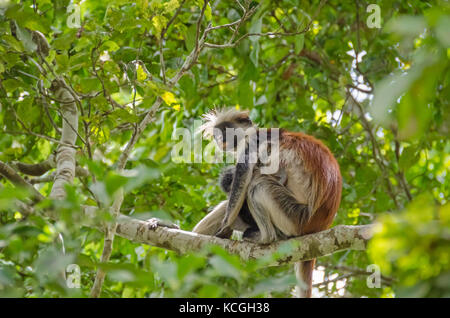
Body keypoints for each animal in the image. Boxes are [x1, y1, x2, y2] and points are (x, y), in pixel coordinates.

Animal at [192, 108, 342, 298]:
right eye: (217, 133)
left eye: (225, 130)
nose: (220, 139)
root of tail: (318, 226)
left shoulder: (254, 143)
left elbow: (245, 173)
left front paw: (223, 229)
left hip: (295, 218)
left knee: (258, 185)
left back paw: (265, 237)